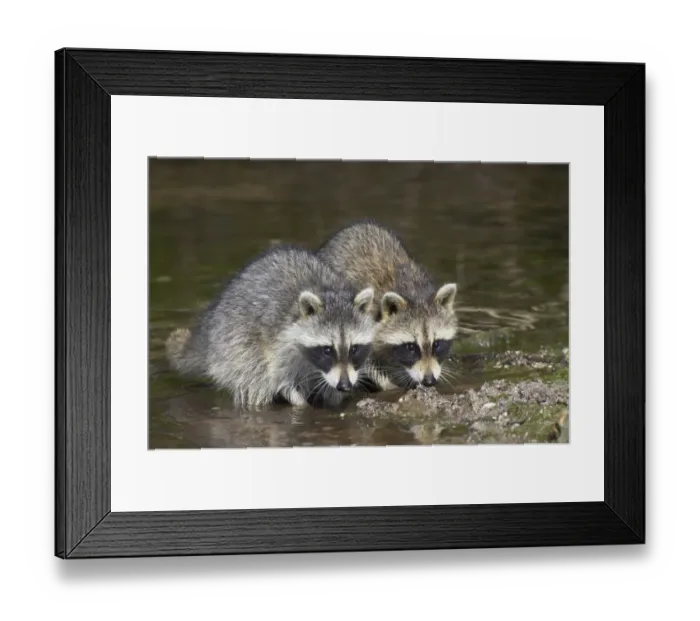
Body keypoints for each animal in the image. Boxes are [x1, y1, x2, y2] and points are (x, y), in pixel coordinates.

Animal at [165, 246, 376, 408]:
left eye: (355, 348)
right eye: (327, 350)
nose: (345, 386)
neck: (327, 292)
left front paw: (335, 397)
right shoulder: (280, 341)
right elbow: (280, 379)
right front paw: (299, 402)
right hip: (233, 341)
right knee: (253, 376)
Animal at [316, 220, 458, 391]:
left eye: (437, 344)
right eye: (411, 347)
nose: (429, 380)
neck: (414, 293)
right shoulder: (363, 321)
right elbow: (367, 362)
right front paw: (389, 384)